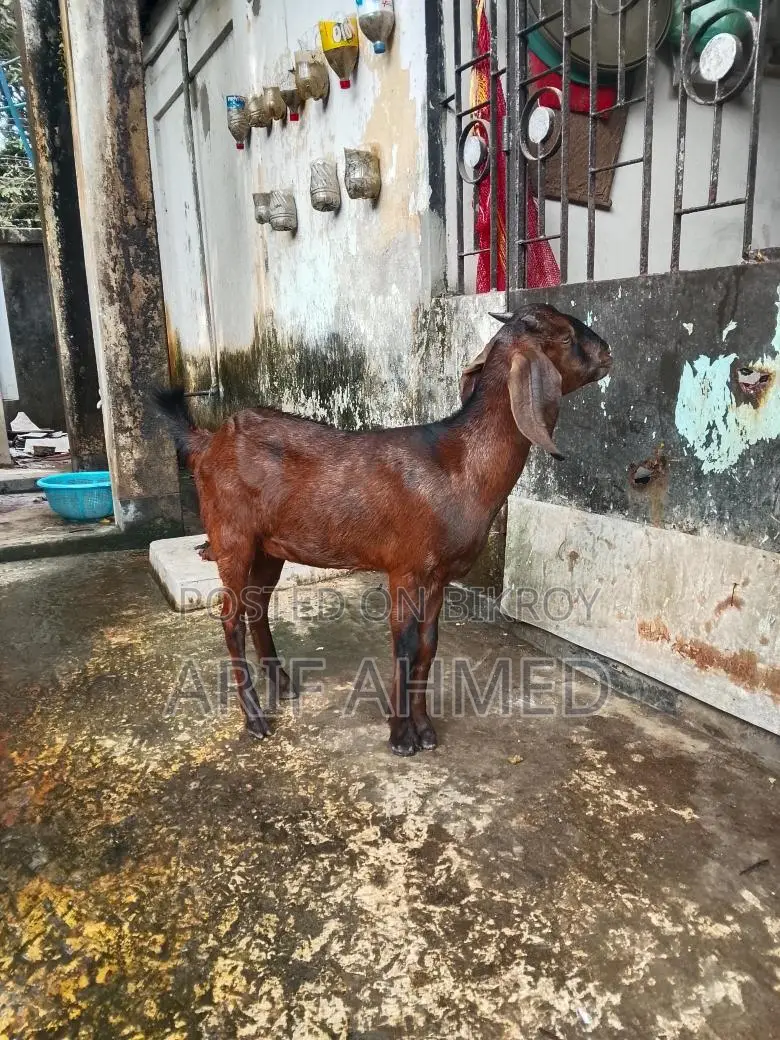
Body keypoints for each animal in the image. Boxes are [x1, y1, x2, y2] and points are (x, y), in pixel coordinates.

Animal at [155, 304, 611, 756]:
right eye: (566, 337)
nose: (608, 351)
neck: (460, 465)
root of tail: (208, 444)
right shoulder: (406, 567)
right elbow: (404, 644)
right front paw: (400, 735)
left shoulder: (438, 574)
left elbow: (429, 644)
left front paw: (425, 730)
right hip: (232, 537)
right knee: (230, 619)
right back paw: (255, 719)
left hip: (270, 547)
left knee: (256, 608)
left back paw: (282, 685)